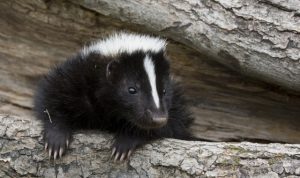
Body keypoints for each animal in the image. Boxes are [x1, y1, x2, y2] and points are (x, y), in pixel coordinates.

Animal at [33, 32, 202, 161]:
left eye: (165, 91)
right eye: (132, 89)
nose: (158, 117)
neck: (111, 108)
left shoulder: (175, 104)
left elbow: (173, 124)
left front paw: (125, 142)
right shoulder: (74, 76)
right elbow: (50, 97)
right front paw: (56, 140)